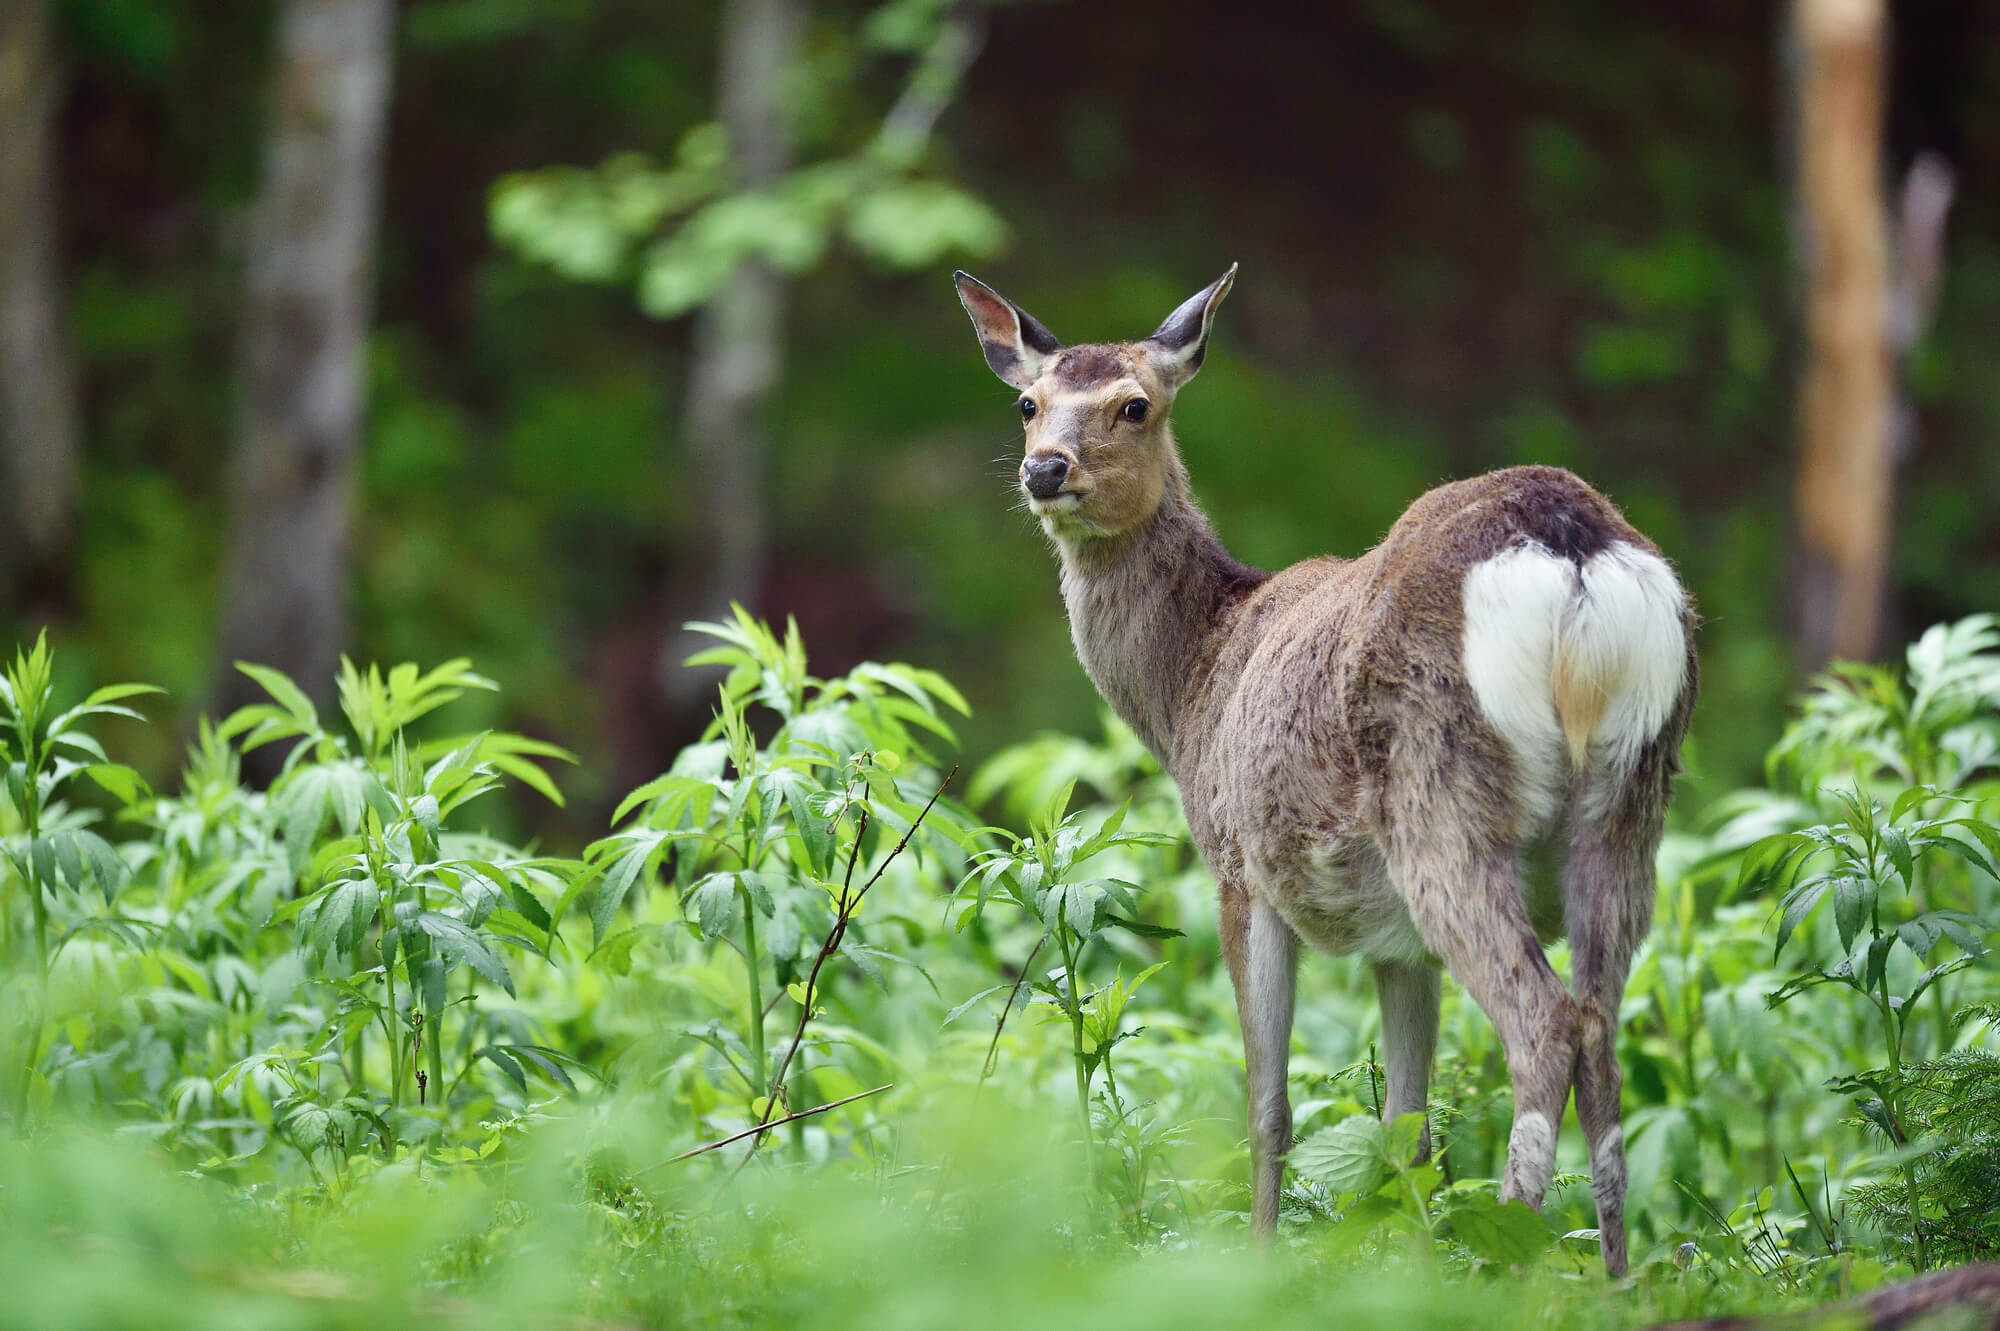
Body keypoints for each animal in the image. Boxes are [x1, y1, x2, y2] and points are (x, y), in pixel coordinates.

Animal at [953, 264, 1696, 1275]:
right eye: (1028, 404)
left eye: (1135, 404)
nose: (1045, 469)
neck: (1196, 684)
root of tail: (1571, 550)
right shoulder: (1397, 944)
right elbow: (1407, 1128)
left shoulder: (1240, 865)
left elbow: (1268, 1109)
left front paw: (1263, 1262)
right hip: (1630, 801)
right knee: (1602, 1028)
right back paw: (1617, 1280)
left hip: (1441, 798)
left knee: (1545, 1021)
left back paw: (1509, 1263)